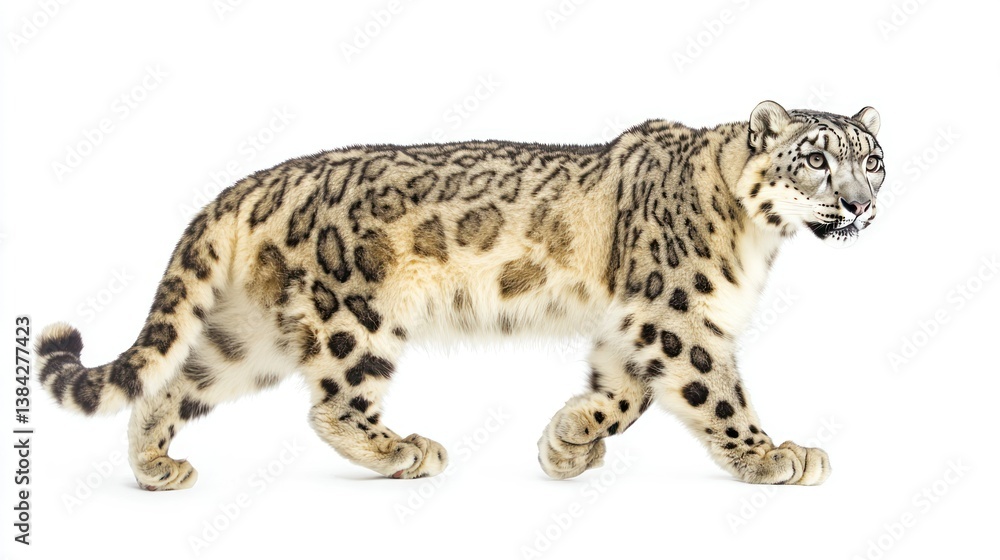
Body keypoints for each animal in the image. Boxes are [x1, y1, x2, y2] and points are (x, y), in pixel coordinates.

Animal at [35, 100, 883, 490]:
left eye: (872, 158)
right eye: (815, 158)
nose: (859, 203)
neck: (760, 241)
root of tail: (248, 185)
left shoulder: (633, 322)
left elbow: (622, 392)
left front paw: (568, 441)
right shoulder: (674, 313)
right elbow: (716, 392)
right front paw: (773, 456)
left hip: (247, 335)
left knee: (172, 383)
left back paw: (155, 467)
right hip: (353, 317)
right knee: (331, 404)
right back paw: (403, 450)